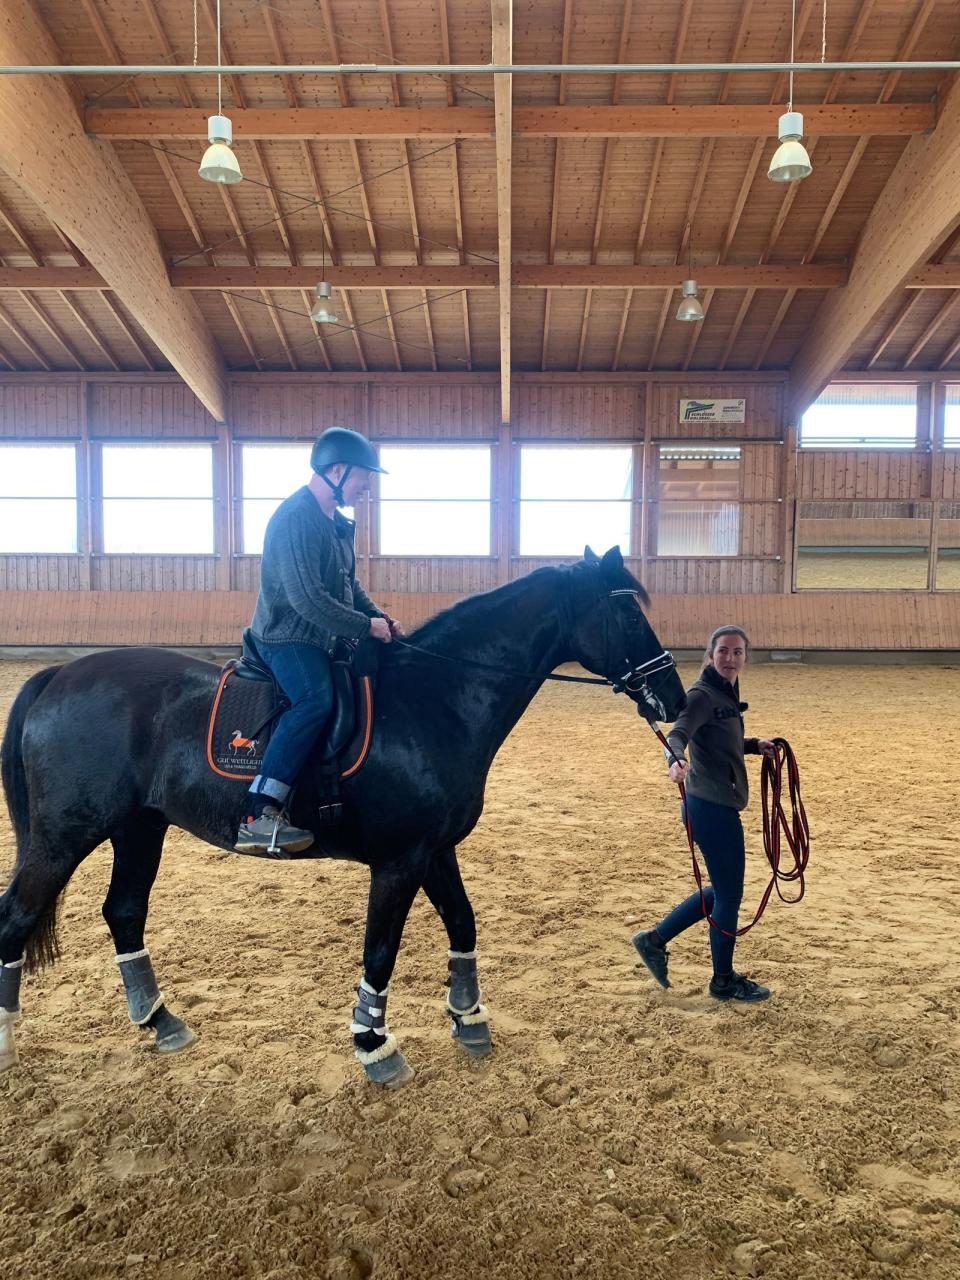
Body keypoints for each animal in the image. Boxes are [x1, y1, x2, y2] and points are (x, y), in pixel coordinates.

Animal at [1, 545, 691, 1085]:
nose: (674, 698)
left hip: (138, 827)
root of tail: (58, 674)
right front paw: (374, 1045)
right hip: (65, 837)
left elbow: (463, 924)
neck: (435, 700)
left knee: (123, 912)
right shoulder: (400, 859)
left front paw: (468, 1018)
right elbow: (380, 950)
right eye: (629, 612)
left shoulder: (435, 850)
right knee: (16, 920)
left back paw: (162, 1022)